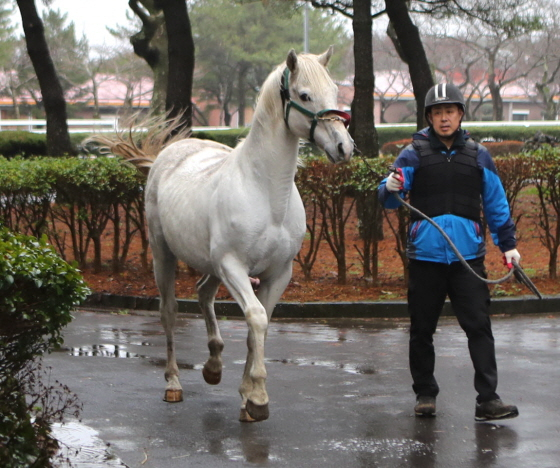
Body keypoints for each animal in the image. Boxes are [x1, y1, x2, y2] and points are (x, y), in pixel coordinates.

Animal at [132, 49, 350, 422]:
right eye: (305, 95)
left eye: (335, 91)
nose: (343, 147)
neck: (266, 193)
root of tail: (170, 153)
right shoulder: (233, 266)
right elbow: (256, 319)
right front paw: (258, 397)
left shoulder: (278, 273)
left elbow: (258, 326)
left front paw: (247, 396)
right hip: (165, 256)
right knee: (169, 311)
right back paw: (173, 383)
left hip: (211, 265)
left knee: (203, 292)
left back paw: (213, 366)